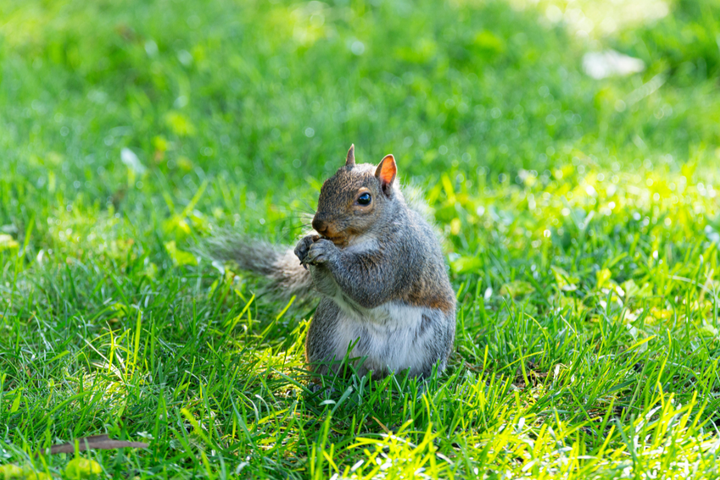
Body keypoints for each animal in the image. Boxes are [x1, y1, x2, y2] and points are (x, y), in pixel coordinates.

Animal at [208, 145, 456, 379]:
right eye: (325, 186)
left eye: (364, 199)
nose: (318, 224)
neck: (355, 241)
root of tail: (374, 368)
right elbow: (327, 287)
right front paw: (304, 244)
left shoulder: (401, 255)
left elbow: (372, 287)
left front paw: (328, 251)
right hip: (326, 331)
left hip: (433, 341)